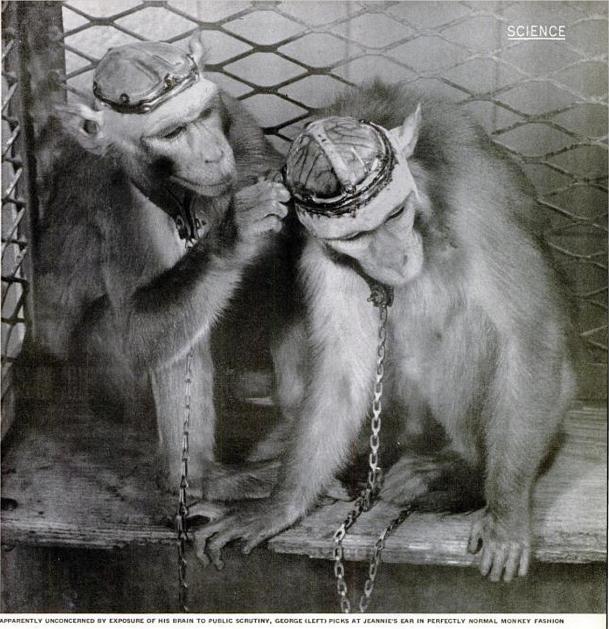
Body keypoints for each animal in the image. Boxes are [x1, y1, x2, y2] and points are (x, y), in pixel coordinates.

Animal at [18, 34, 291, 499]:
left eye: (204, 114)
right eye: (173, 133)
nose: (215, 154)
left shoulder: (233, 115)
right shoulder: (114, 201)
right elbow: (137, 330)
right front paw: (233, 235)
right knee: (135, 330)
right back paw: (200, 477)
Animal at [193, 80, 576, 583]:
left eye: (394, 216)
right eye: (356, 237)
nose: (394, 259)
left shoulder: (479, 214)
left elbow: (531, 335)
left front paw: (506, 514)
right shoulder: (324, 254)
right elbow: (342, 369)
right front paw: (280, 505)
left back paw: (460, 468)